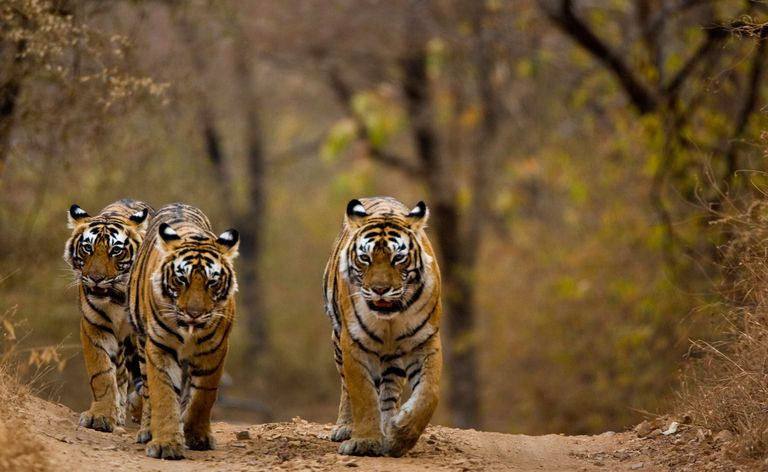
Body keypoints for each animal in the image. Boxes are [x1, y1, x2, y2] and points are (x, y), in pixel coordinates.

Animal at [63, 198, 153, 433]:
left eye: (116, 251)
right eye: (88, 248)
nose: (96, 278)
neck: (117, 296)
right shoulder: (95, 327)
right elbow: (102, 374)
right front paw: (101, 416)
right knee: (120, 375)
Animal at [127, 203, 239, 460]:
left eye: (212, 282)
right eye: (181, 279)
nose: (194, 313)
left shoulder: (215, 349)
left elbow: (203, 396)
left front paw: (198, 436)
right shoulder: (159, 346)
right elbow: (163, 393)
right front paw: (165, 444)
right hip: (141, 344)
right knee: (147, 390)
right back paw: (147, 430)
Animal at [323, 196, 443, 457]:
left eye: (398, 258)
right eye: (365, 258)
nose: (380, 289)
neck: (391, 318)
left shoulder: (426, 341)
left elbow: (428, 393)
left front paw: (400, 436)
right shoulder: (353, 342)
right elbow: (363, 394)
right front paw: (365, 442)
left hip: (393, 357)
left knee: (389, 393)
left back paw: (389, 426)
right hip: (337, 341)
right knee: (347, 387)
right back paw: (346, 427)